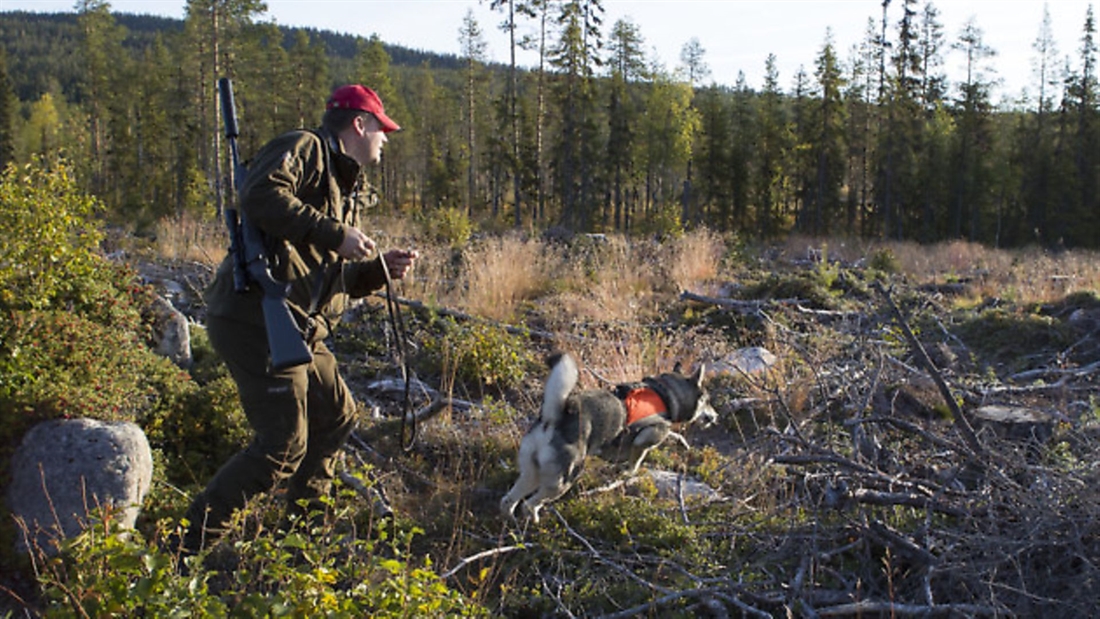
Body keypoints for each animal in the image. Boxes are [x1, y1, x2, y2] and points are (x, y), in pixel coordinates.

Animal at [501, 351, 721, 521]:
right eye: (708, 401)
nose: (715, 416)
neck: (668, 394)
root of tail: (554, 417)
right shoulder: (646, 438)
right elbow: (639, 458)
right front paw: (629, 473)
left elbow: (673, 434)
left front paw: (682, 443)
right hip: (563, 480)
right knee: (529, 505)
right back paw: (534, 521)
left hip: (530, 474)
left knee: (508, 501)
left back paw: (510, 522)